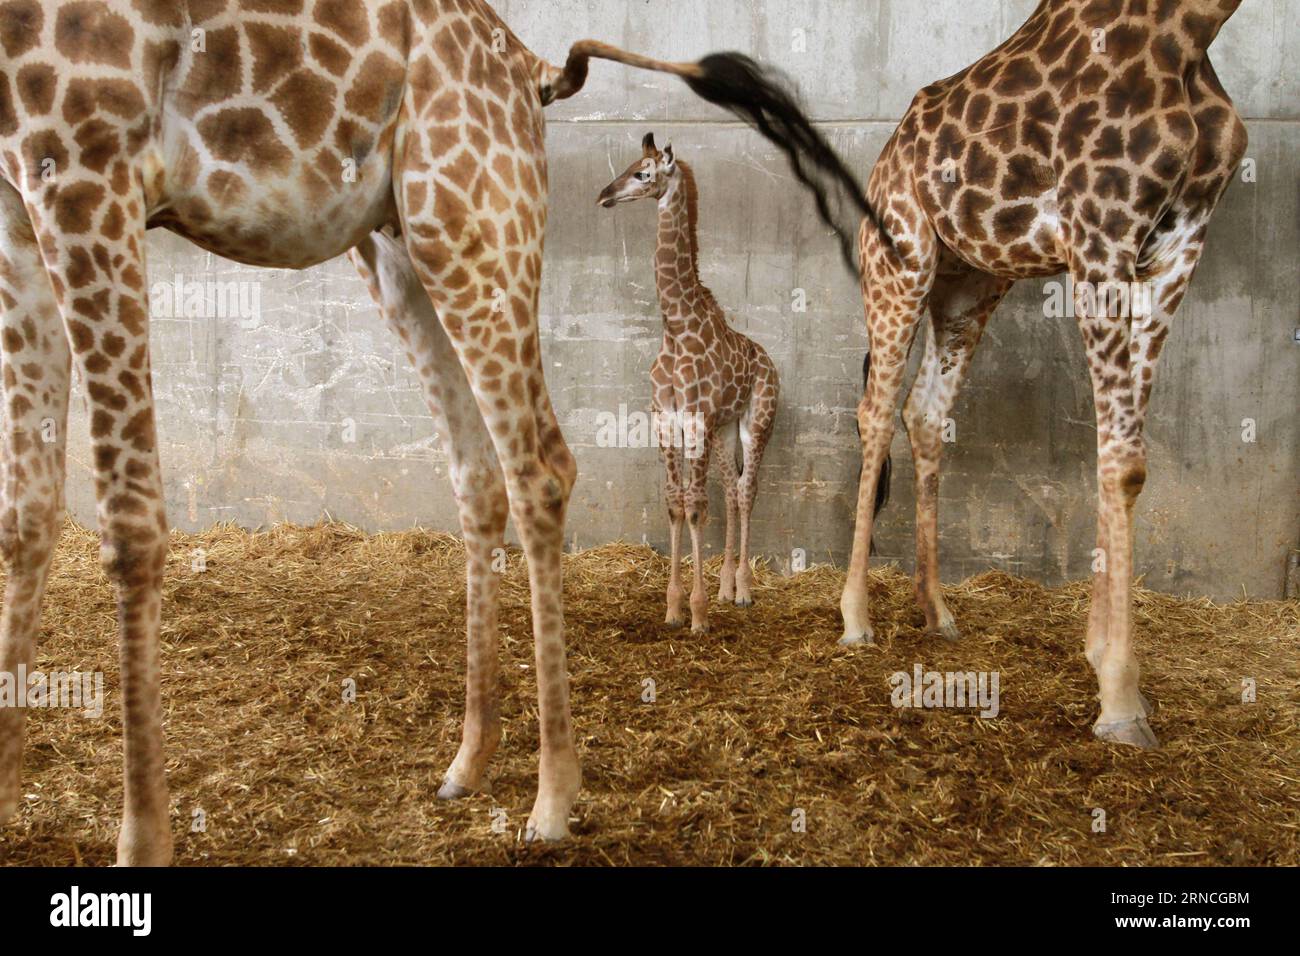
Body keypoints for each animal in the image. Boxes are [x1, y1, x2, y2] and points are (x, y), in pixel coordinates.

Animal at [597, 133, 779, 634]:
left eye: (643, 173)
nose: (604, 195)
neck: (677, 327)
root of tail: (770, 363)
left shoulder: (695, 418)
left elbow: (696, 506)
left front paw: (697, 614)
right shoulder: (666, 418)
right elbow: (676, 503)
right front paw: (675, 607)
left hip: (757, 421)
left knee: (748, 489)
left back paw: (744, 590)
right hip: (724, 429)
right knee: (732, 488)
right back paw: (726, 587)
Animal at [836, 0, 1248, 751]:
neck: (1192, 29)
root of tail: (881, 161)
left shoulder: (1179, 243)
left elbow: (1124, 458)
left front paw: (1104, 662)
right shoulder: (1101, 232)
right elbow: (1122, 460)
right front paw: (1120, 697)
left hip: (972, 281)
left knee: (924, 413)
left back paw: (936, 610)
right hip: (900, 262)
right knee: (875, 412)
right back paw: (855, 617)